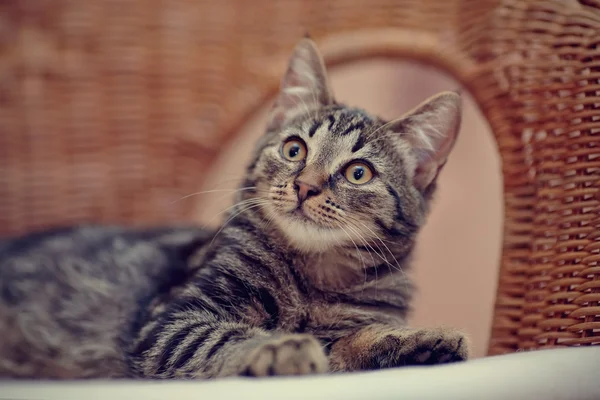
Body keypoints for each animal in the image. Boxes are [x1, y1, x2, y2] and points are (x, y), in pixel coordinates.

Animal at [0, 37, 468, 378]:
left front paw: (420, 340)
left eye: (358, 173)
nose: (305, 186)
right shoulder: (169, 322)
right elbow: (226, 337)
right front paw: (281, 346)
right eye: (295, 149)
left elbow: (357, 338)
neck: (315, 277)